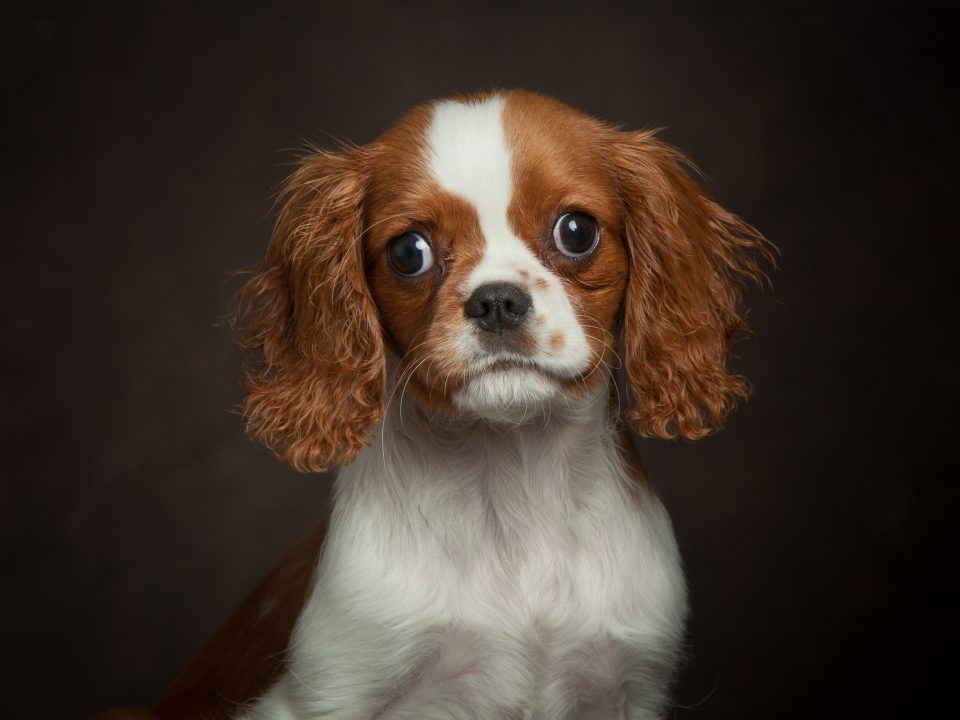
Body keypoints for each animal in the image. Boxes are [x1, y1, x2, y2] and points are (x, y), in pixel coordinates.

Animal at [101, 90, 768, 720]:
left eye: (576, 231)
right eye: (409, 253)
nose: (497, 301)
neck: (513, 477)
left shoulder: (629, 684)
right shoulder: (328, 689)